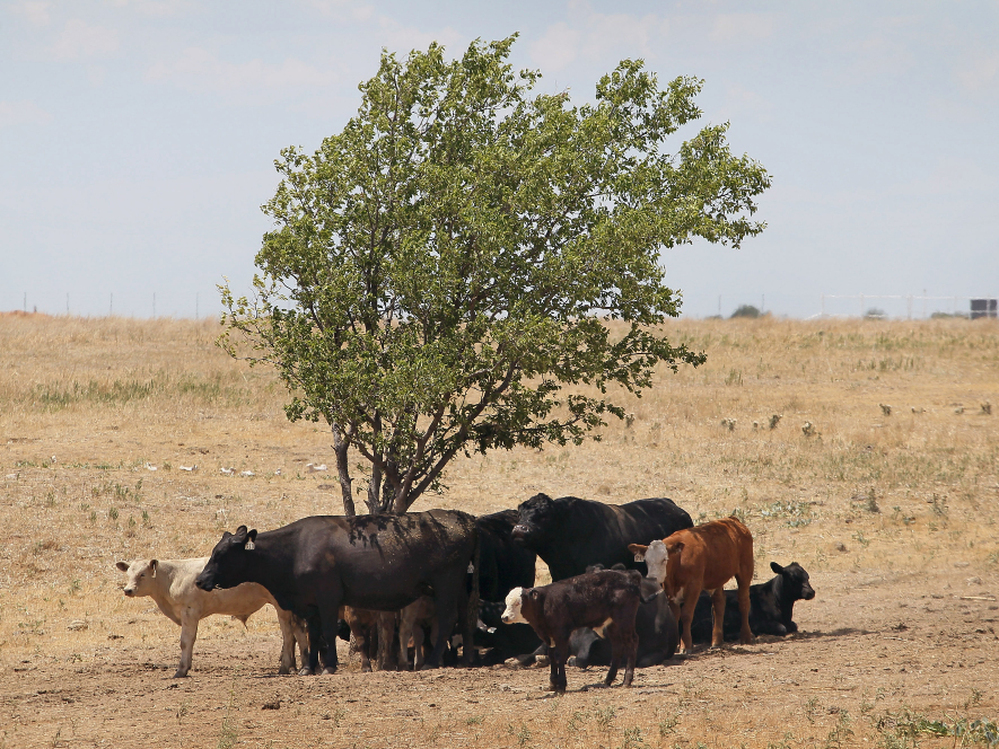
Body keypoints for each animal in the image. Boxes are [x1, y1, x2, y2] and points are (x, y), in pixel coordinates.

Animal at [115, 557, 308, 678]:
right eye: (128, 574)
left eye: (142, 574)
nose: (128, 590)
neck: (173, 577)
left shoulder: (189, 612)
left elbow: (186, 641)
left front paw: (181, 670)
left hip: (282, 607)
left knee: (289, 634)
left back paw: (286, 666)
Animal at [195, 509, 479, 676]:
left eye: (221, 554)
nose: (200, 580)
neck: (295, 550)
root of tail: (464, 519)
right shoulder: (310, 605)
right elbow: (313, 635)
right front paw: (308, 668)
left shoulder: (328, 599)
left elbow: (327, 632)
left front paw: (329, 666)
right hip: (459, 588)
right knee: (465, 619)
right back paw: (466, 659)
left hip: (446, 584)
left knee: (447, 619)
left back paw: (431, 662)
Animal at [501, 568, 650, 694]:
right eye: (506, 602)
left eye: (518, 603)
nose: (504, 617)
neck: (544, 604)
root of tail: (629, 576)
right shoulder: (550, 636)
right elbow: (551, 655)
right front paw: (553, 683)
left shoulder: (561, 633)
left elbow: (560, 656)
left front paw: (561, 686)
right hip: (612, 624)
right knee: (617, 647)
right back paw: (608, 680)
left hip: (624, 620)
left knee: (632, 642)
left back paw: (627, 680)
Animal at [629, 516, 754, 654]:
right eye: (646, 560)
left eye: (665, 559)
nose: (652, 577)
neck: (678, 562)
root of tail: (732, 520)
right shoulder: (670, 590)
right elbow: (675, 614)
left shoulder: (693, 587)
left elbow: (686, 615)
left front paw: (686, 645)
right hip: (716, 578)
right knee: (719, 604)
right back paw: (716, 640)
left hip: (745, 570)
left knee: (743, 601)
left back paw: (745, 636)